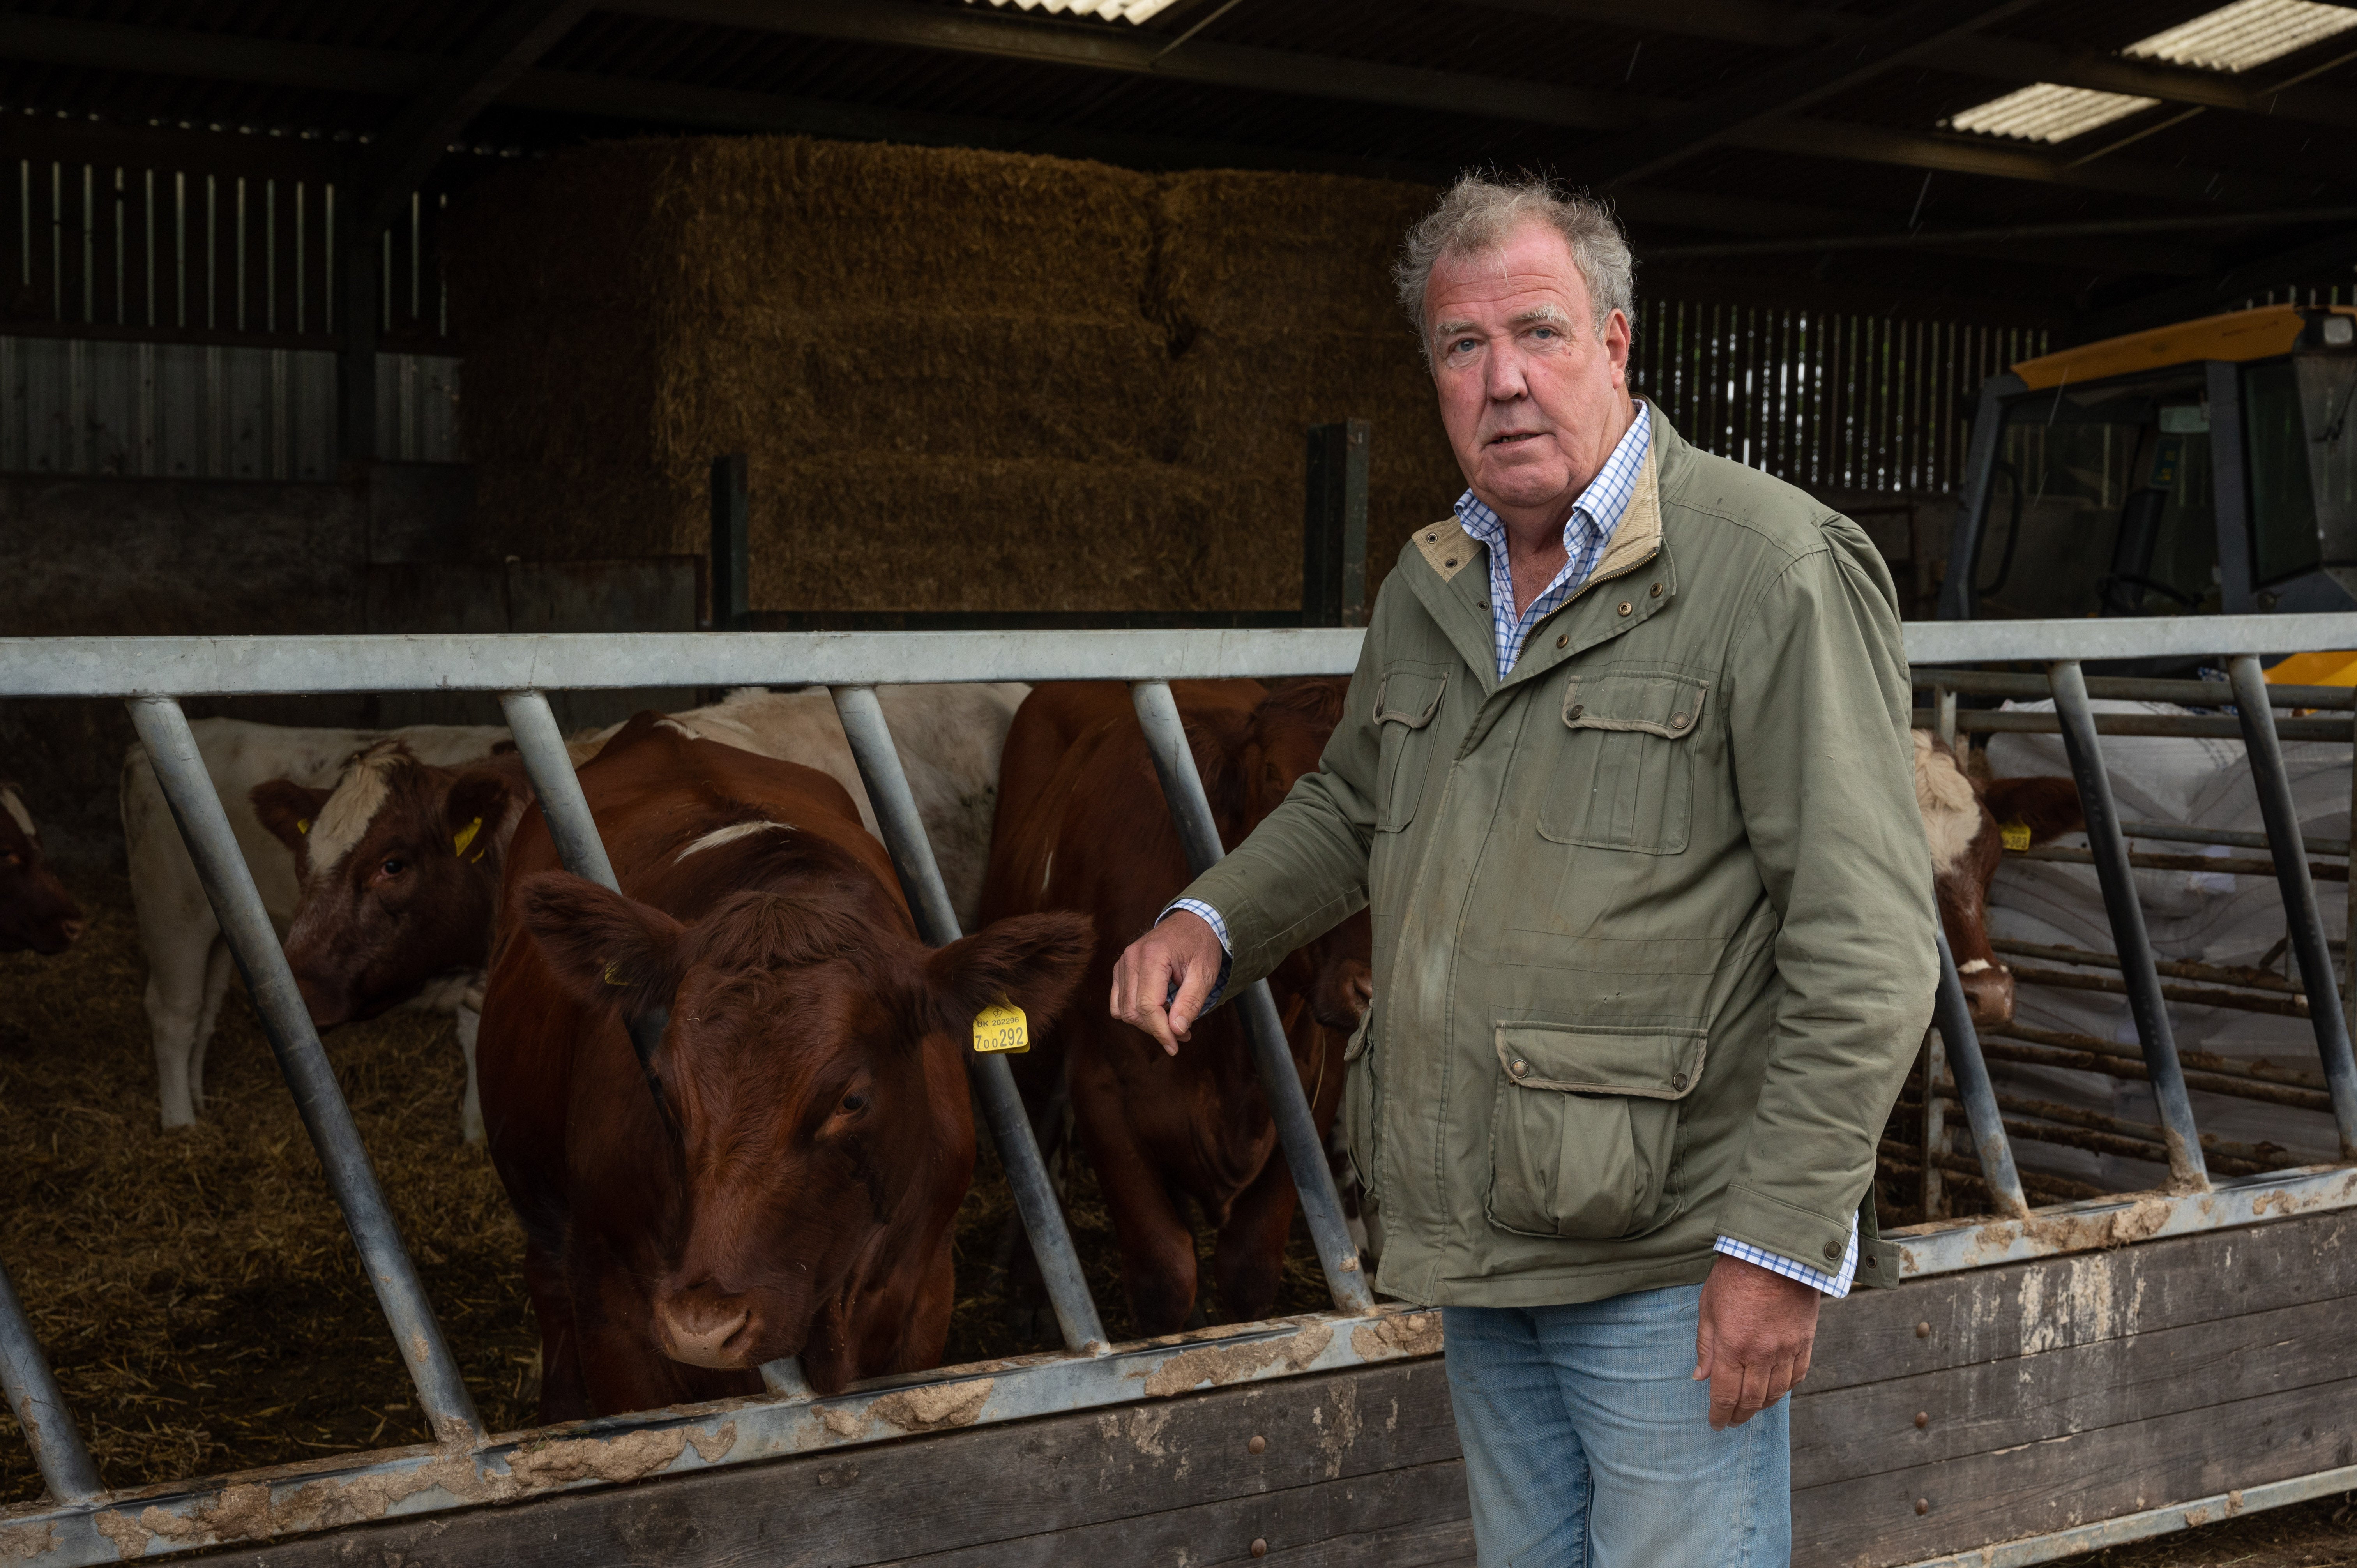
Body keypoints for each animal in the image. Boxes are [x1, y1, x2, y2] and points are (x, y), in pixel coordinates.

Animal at [980, 674, 1376, 1330]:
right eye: (1275, 777)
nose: (1372, 987)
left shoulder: (1312, 1093)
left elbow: (1249, 1271)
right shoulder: (1102, 1090)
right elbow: (1165, 1273)